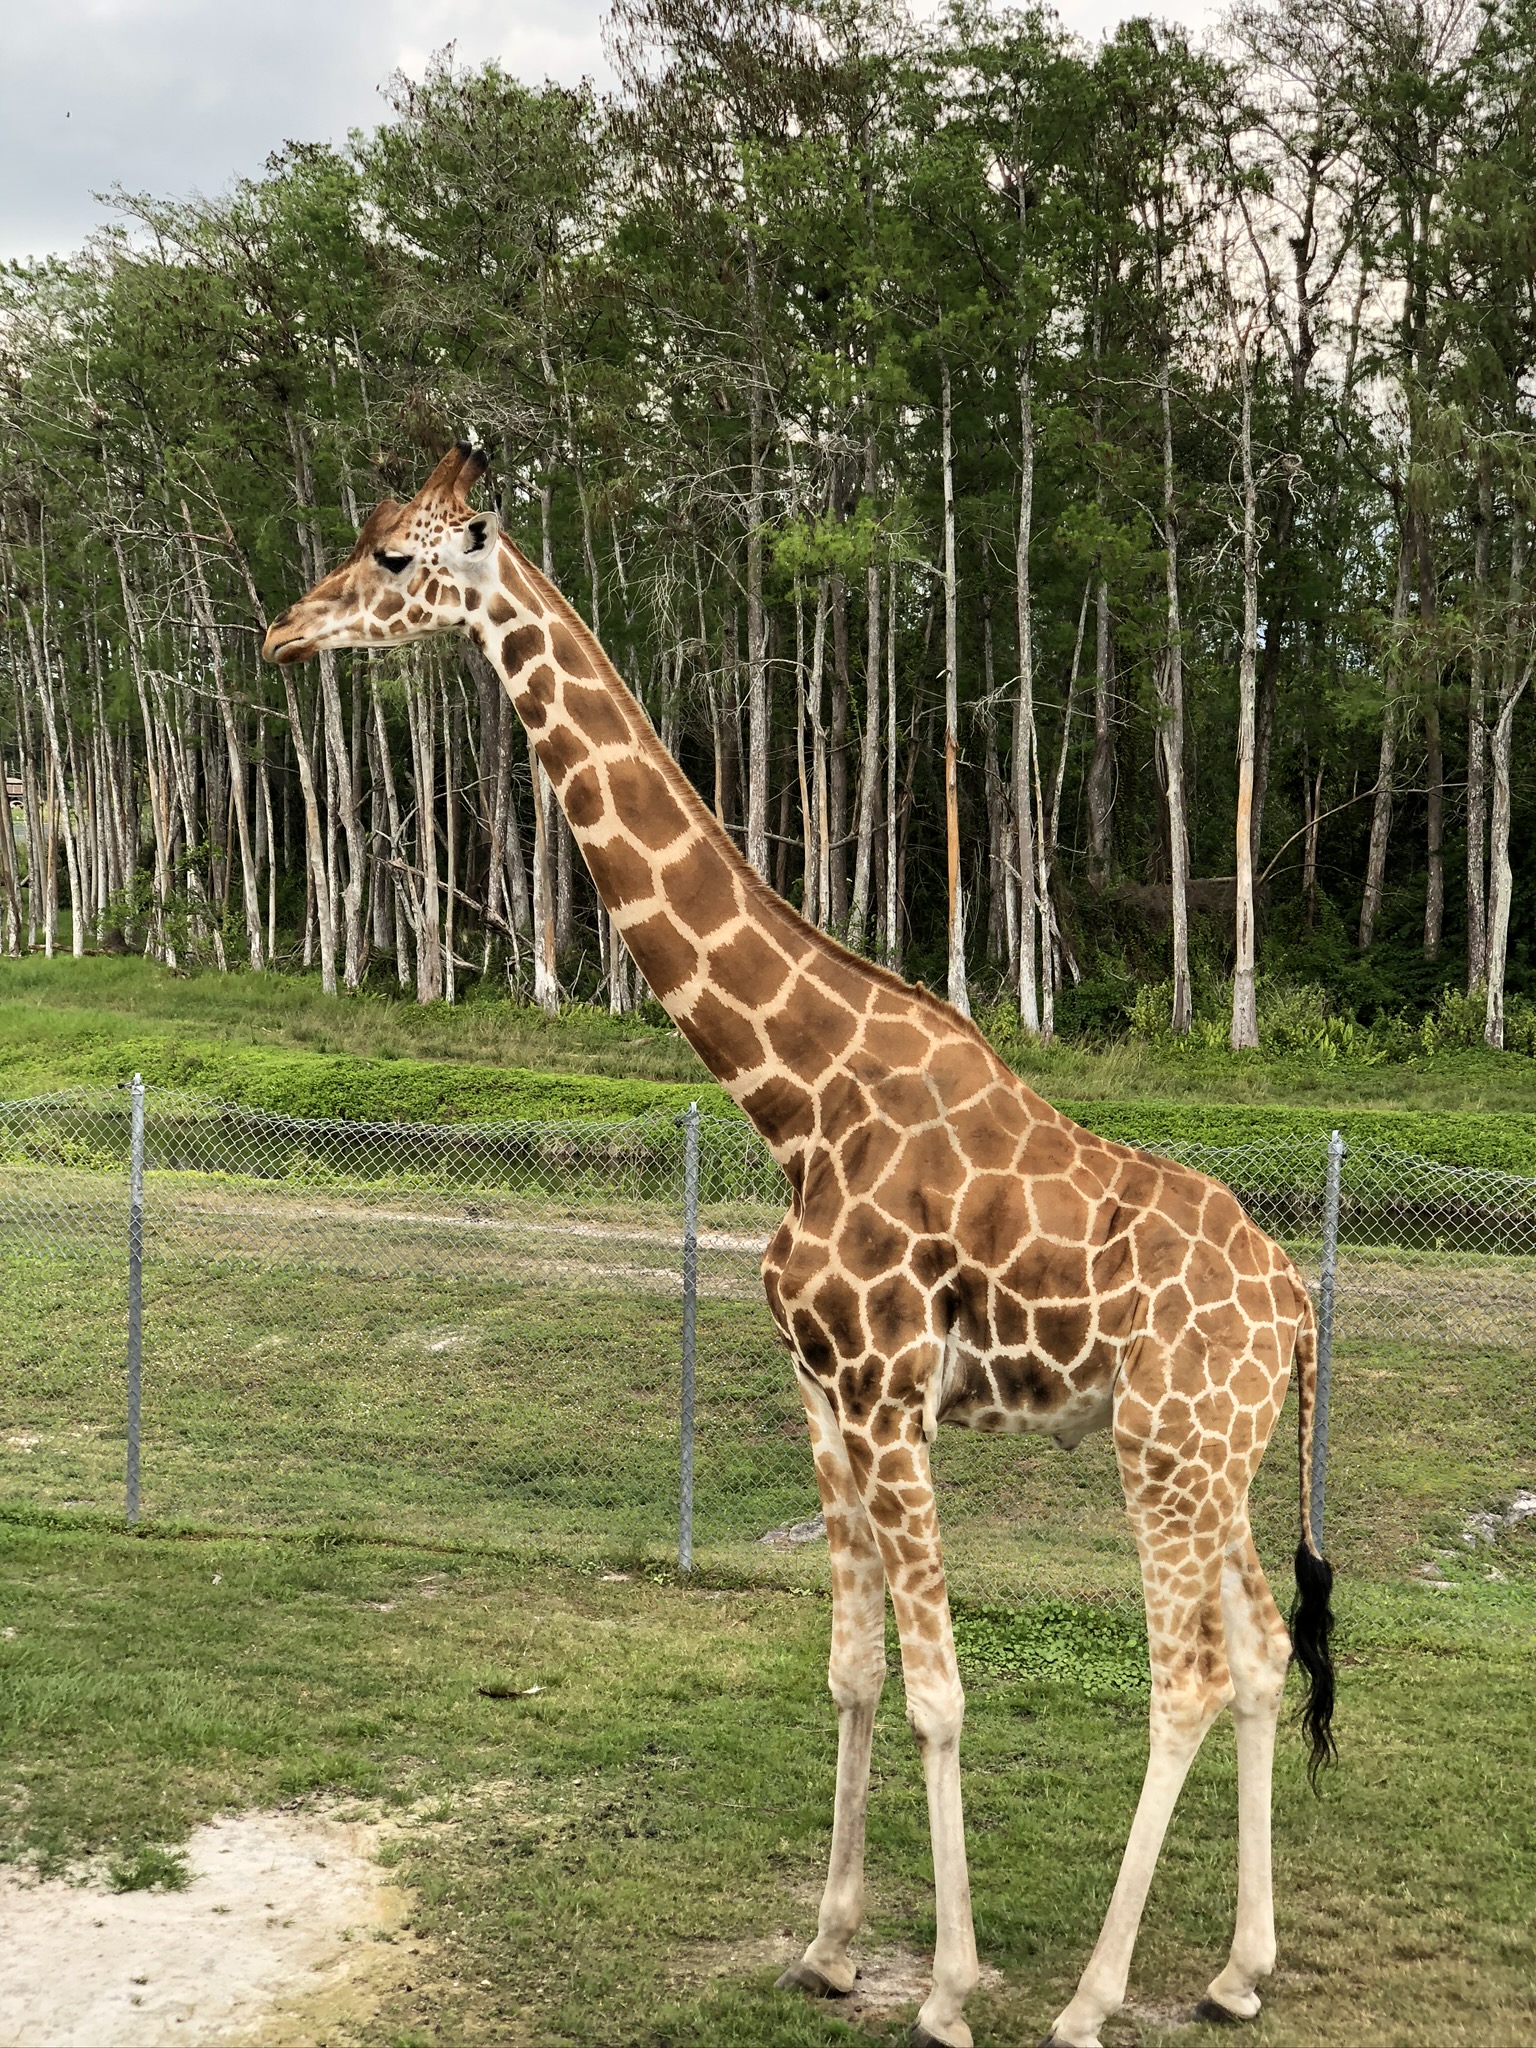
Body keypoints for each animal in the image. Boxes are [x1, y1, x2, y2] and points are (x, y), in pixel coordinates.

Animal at [262, 448, 1335, 2048]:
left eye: (395, 557)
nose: (284, 631)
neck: (793, 1096)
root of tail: (1300, 1309)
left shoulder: (892, 1395)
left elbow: (942, 1691)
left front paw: (945, 1988)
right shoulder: (820, 1396)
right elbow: (848, 1668)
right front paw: (830, 1947)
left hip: (1169, 1447)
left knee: (1190, 1678)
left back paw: (1091, 1997)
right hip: (1219, 1452)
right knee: (1262, 1656)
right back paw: (1234, 1972)